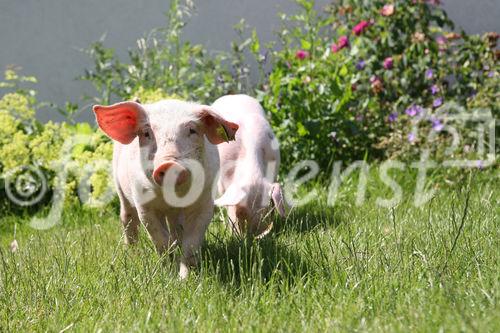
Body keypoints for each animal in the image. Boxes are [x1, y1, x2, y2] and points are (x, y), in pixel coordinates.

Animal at [93, 98, 238, 278]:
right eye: (146, 133)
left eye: (192, 130)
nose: (169, 163)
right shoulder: (144, 204)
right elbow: (160, 239)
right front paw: (169, 271)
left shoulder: (204, 201)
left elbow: (191, 243)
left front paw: (185, 278)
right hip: (120, 187)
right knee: (127, 219)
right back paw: (132, 253)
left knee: (177, 227)